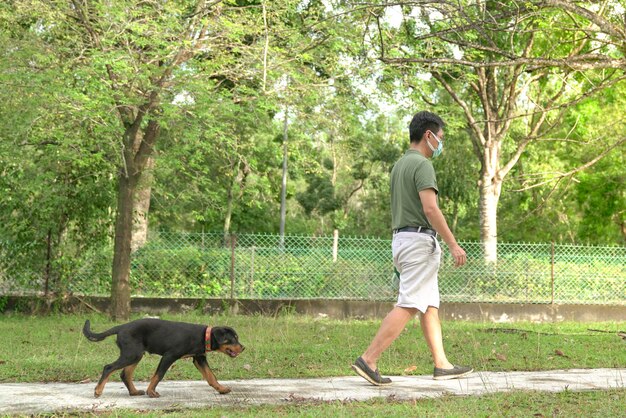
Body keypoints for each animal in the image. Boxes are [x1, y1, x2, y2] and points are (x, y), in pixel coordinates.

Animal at [80, 318, 241, 396]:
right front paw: (151, 392)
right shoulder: (169, 356)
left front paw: (222, 389)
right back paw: (98, 391)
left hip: (135, 354)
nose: (243, 347)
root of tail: (121, 327)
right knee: (109, 367)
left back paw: (134, 392)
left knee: (125, 374)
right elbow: (158, 375)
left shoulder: (199, 358)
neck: (204, 336)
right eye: (233, 339)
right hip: (132, 354)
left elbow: (211, 376)